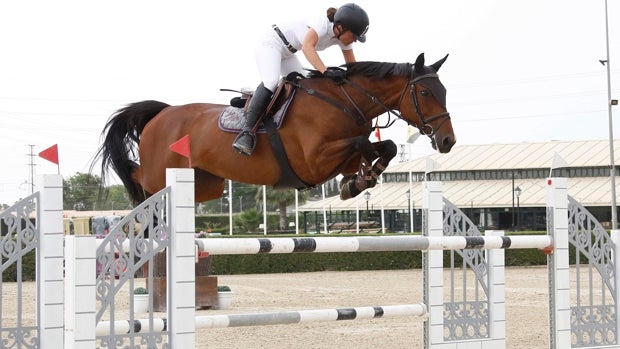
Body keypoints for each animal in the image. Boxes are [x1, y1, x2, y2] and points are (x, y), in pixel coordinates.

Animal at [95, 52, 456, 203]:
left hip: (206, 183)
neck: (344, 100)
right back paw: (134, 199)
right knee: (137, 175)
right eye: (426, 93)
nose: (448, 141)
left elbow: (385, 147)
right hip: (160, 173)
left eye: (444, 91)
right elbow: (361, 144)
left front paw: (358, 181)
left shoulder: (338, 158)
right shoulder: (314, 161)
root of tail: (163, 113)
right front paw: (359, 180)